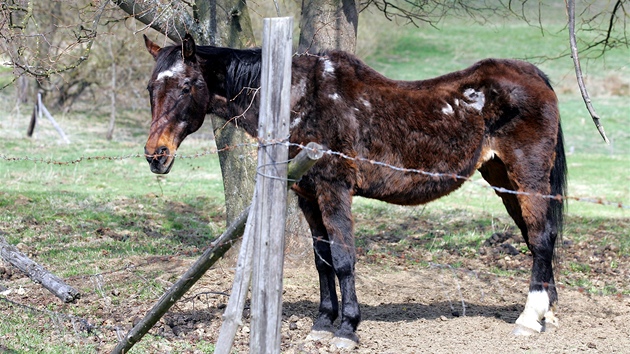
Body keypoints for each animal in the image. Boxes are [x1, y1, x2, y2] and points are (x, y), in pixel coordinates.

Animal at [146, 34, 572, 348]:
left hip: (527, 177)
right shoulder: (306, 194)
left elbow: (343, 257)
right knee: (538, 239)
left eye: (186, 85)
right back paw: (546, 313)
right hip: (502, 179)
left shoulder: (334, 188)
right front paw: (322, 324)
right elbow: (322, 260)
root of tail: (533, 76)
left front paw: (347, 329)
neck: (301, 96)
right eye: (151, 87)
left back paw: (529, 319)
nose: (155, 155)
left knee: (541, 238)